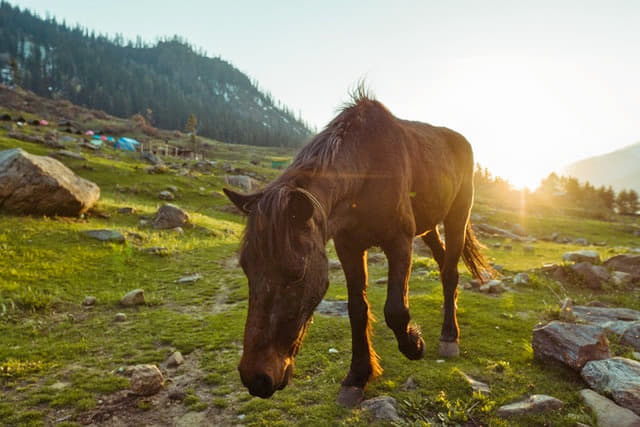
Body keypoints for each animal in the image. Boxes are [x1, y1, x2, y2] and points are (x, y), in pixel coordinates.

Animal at [223, 90, 493, 407]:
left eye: (296, 273)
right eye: (246, 268)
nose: (256, 378)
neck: (367, 170)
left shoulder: (399, 241)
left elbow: (396, 310)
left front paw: (414, 343)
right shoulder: (348, 247)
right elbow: (357, 310)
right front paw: (357, 377)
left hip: (457, 218)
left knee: (450, 272)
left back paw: (449, 337)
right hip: (428, 228)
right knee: (443, 266)